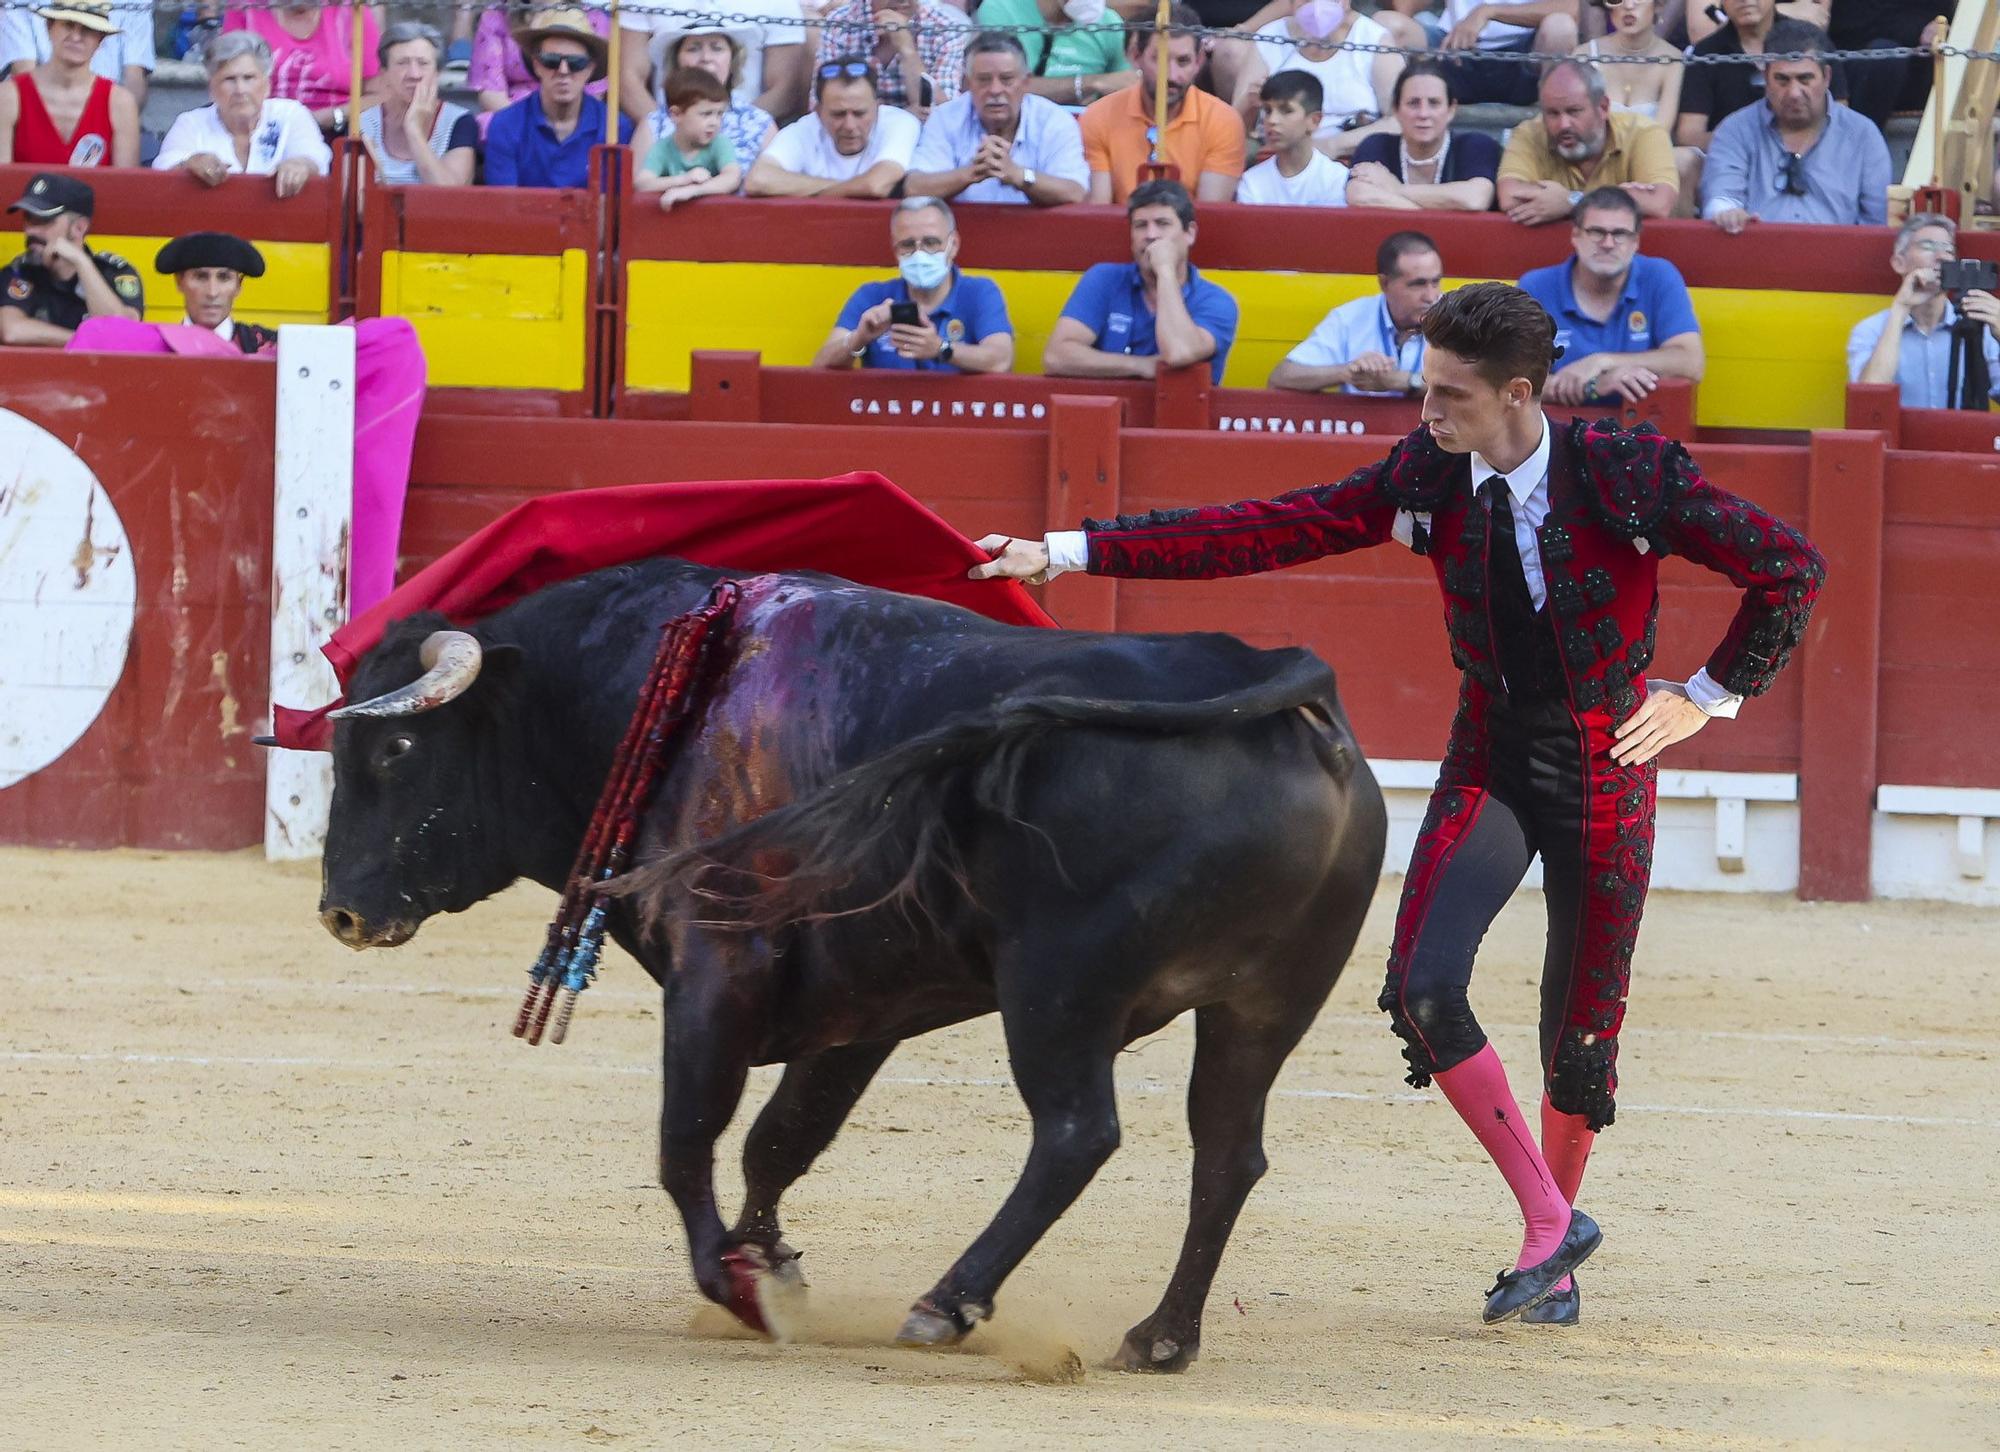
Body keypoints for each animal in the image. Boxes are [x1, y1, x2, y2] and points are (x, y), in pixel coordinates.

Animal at [320, 560, 1384, 1376]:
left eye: (397, 744)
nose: (340, 910)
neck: (660, 701)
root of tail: (1272, 679)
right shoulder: (865, 1000)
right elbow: (781, 1137)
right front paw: (770, 1261)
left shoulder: (716, 964)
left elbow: (687, 1138)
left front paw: (739, 1287)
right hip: (1264, 1005)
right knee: (1227, 1153)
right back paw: (1161, 1338)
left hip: (1058, 988)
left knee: (1078, 1132)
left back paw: (946, 1305)